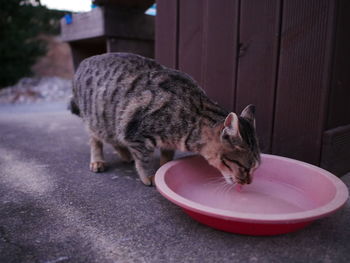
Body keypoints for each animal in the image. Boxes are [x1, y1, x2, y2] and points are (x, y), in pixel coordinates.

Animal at [69, 52, 260, 187]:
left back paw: (124, 154)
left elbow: (167, 156)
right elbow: (144, 160)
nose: (248, 182)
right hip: (97, 120)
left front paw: (164, 166)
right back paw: (98, 160)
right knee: (95, 140)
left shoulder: (166, 141)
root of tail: (84, 61)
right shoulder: (134, 132)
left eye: (255, 168)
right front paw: (149, 176)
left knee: (114, 139)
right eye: (246, 168)